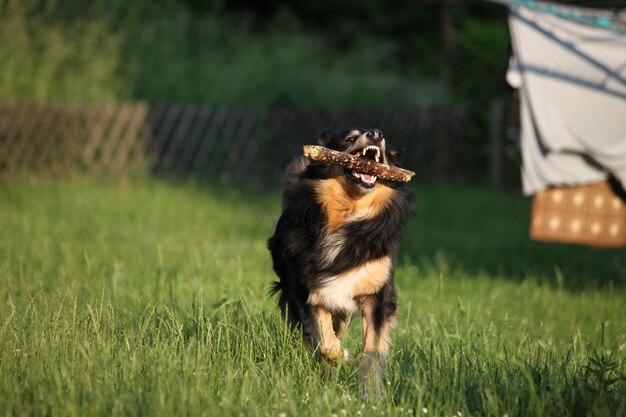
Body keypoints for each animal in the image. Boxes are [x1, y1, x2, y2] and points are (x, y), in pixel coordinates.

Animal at [266, 127, 412, 394]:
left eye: (386, 149)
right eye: (349, 138)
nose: (376, 133)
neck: (350, 212)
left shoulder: (377, 295)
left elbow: (372, 351)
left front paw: (370, 393)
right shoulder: (309, 288)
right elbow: (324, 340)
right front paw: (341, 356)